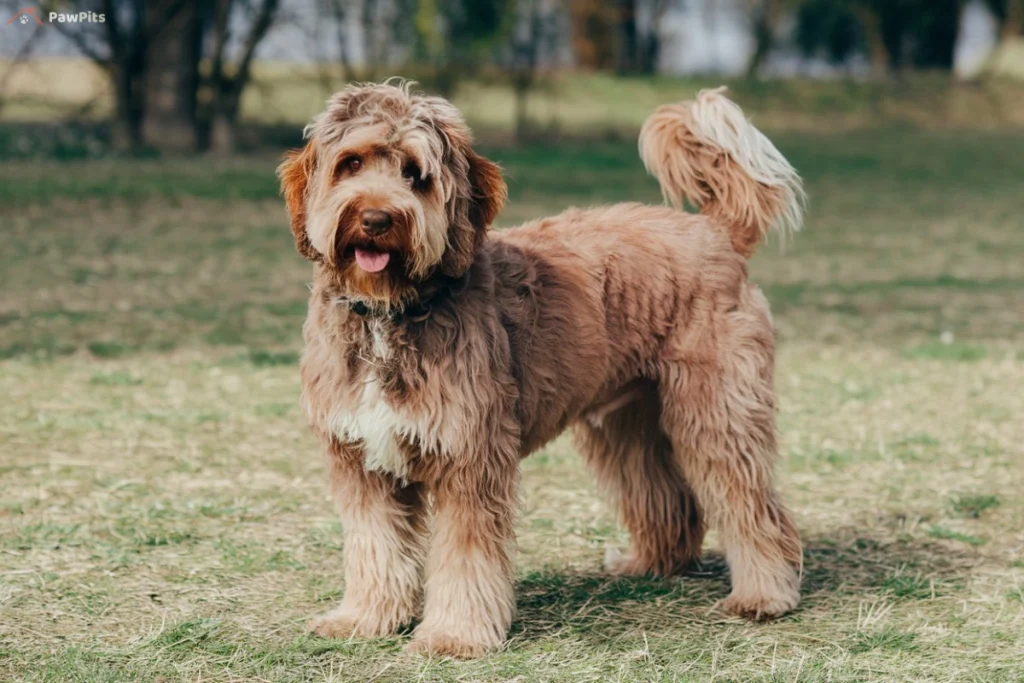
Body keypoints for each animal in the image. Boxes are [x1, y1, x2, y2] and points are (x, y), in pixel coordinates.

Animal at [280, 80, 806, 655]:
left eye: (416, 174)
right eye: (350, 163)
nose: (376, 220)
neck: (390, 311)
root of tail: (716, 230)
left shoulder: (470, 457)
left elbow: (466, 556)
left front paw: (454, 634)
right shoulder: (361, 460)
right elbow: (375, 546)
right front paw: (364, 617)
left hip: (716, 411)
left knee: (751, 504)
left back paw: (763, 595)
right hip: (626, 422)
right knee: (667, 498)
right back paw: (650, 563)